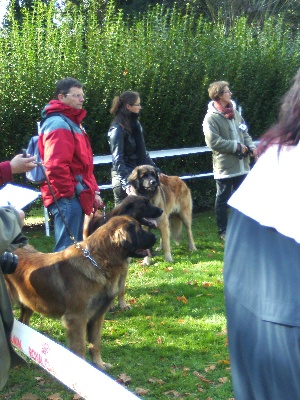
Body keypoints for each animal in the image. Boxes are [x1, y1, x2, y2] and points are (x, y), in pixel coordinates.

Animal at [5, 217, 157, 370]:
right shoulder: (77, 319)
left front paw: (99, 365)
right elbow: (80, 348)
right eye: (139, 230)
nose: (156, 237)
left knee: (23, 323)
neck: (98, 262)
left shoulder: (97, 316)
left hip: (29, 303)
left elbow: (95, 344)